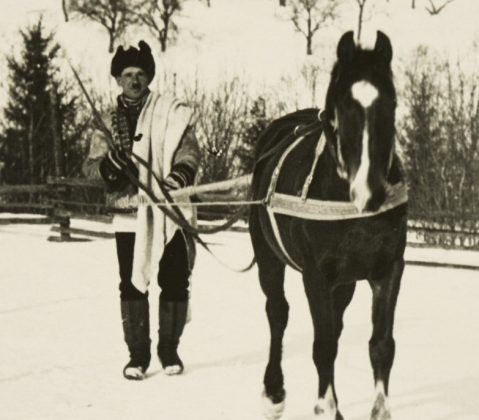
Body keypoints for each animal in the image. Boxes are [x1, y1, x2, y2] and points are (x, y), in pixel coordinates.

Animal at [249, 30, 406, 420]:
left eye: (392, 102)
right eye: (342, 105)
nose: (370, 191)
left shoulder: (389, 269)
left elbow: (381, 345)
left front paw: (378, 409)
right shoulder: (315, 275)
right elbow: (323, 346)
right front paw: (325, 406)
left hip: (344, 283)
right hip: (268, 259)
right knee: (278, 313)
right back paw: (274, 391)